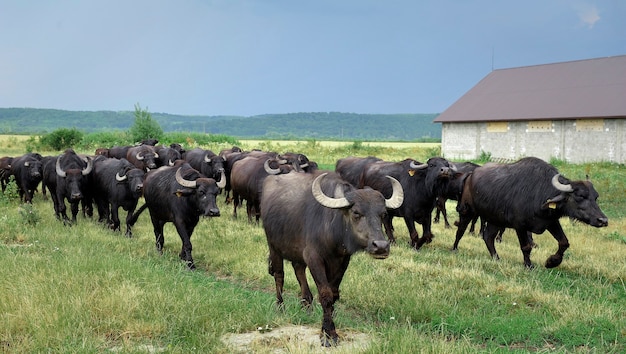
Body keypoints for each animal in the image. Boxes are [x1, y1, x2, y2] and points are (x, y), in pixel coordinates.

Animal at [260, 171, 402, 346]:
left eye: (383, 214)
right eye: (356, 212)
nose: (381, 246)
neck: (332, 230)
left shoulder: (342, 260)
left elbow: (334, 294)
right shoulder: (314, 258)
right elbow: (326, 295)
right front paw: (329, 334)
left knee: (298, 270)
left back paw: (307, 306)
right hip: (274, 247)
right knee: (279, 276)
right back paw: (280, 307)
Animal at [450, 156, 608, 266]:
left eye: (595, 197)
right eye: (580, 196)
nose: (603, 220)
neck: (540, 193)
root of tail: (470, 175)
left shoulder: (551, 222)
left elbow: (564, 242)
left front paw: (551, 262)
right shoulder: (520, 226)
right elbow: (526, 246)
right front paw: (528, 265)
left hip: (495, 219)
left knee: (488, 237)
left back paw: (496, 258)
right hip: (467, 210)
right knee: (461, 230)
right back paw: (454, 248)